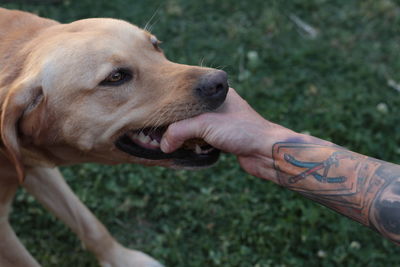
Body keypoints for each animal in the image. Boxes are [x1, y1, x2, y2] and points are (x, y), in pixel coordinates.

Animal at [0, 7, 228, 266]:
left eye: (156, 45)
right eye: (116, 77)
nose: (221, 82)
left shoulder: (39, 168)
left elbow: (90, 224)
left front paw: (123, 259)